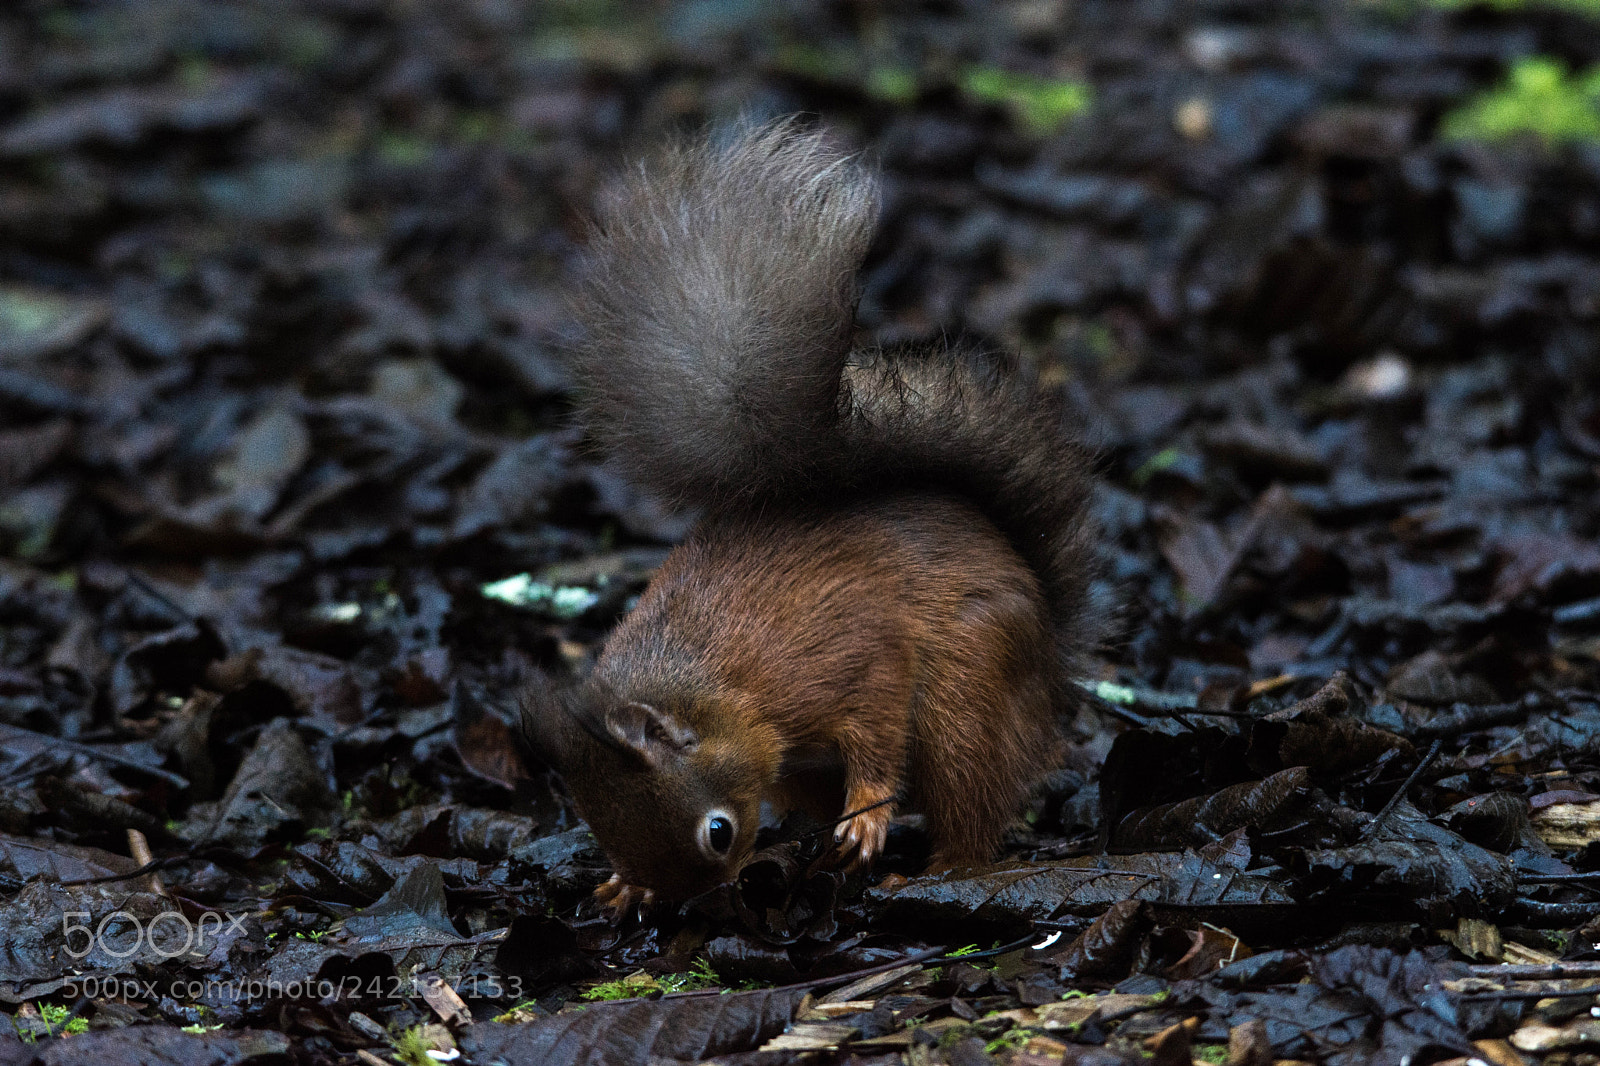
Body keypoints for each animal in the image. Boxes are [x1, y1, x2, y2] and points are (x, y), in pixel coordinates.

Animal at [521, 119, 1098, 915]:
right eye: (610, 839)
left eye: (719, 833)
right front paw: (624, 888)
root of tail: (1051, 678)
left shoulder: (850, 657)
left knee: (970, 803)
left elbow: (878, 726)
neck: (713, 687)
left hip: (969, 692)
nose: (703, 905)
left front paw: (870, 813)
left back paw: (935, 868)